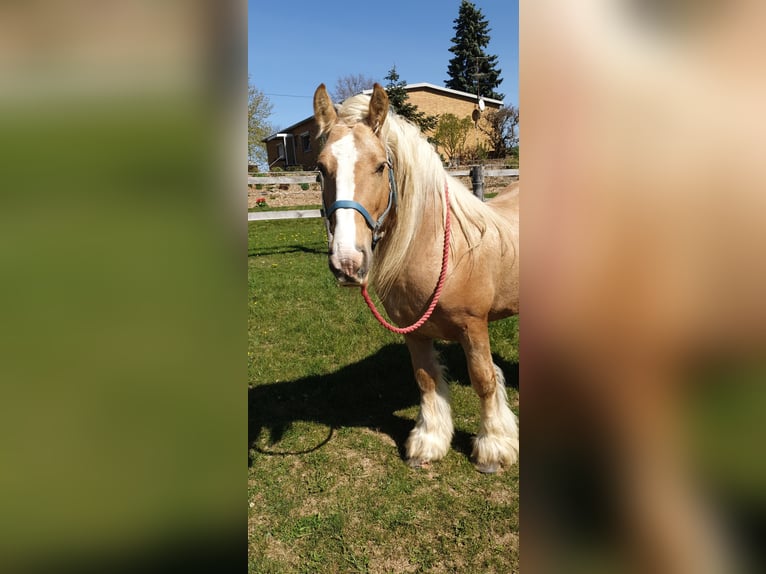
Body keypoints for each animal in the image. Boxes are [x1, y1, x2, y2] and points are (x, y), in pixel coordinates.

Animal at [314, 83, 520, 474]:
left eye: (380, 166)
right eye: (320, 168)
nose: (347, 262)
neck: (443, 249)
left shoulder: (474, 327)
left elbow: (484, 380)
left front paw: (493, 448)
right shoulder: (413, 330)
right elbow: (426, 379)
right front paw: (429, 442)